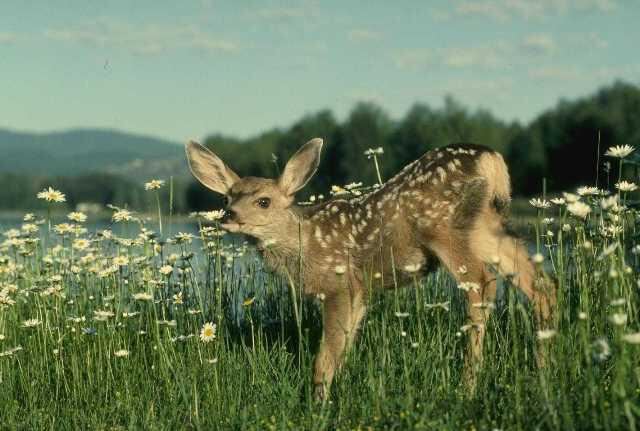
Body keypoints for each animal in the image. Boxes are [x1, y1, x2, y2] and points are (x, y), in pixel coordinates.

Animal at [184, 138, 556, 398]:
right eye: (227, 198)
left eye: (264, 201)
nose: (228, 215)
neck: (304, 246)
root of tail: (490, 159)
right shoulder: (361, 291)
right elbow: (345, 344)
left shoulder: (340, 282)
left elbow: (327, 353)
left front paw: (319, 401)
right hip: (487, 225)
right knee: (539, 282)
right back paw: (542, 368)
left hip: (444, 227)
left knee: (482, 285)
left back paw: (468, 385)